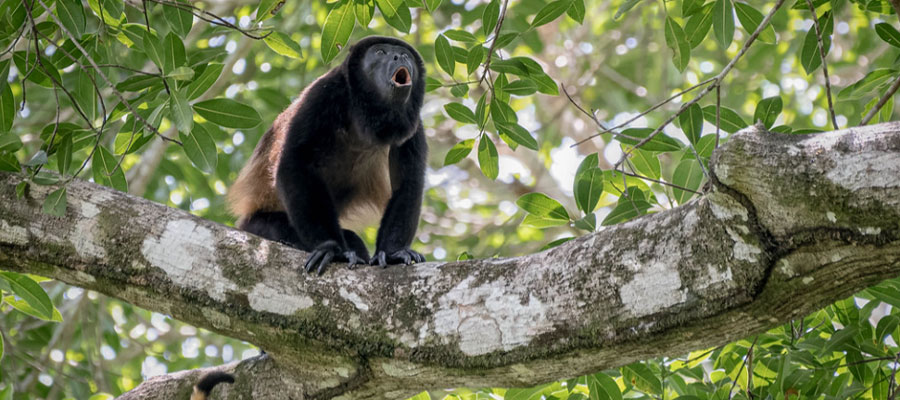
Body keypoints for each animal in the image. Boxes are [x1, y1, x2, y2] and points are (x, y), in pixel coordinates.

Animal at [227, 36, 427, 274]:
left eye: (404, 54)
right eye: (380, 52)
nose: (399, 57)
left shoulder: (415, 125)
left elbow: (407, 182)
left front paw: (394, 252)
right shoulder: (324, 92)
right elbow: (295, 161)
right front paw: (331, 249)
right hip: (258, 224)